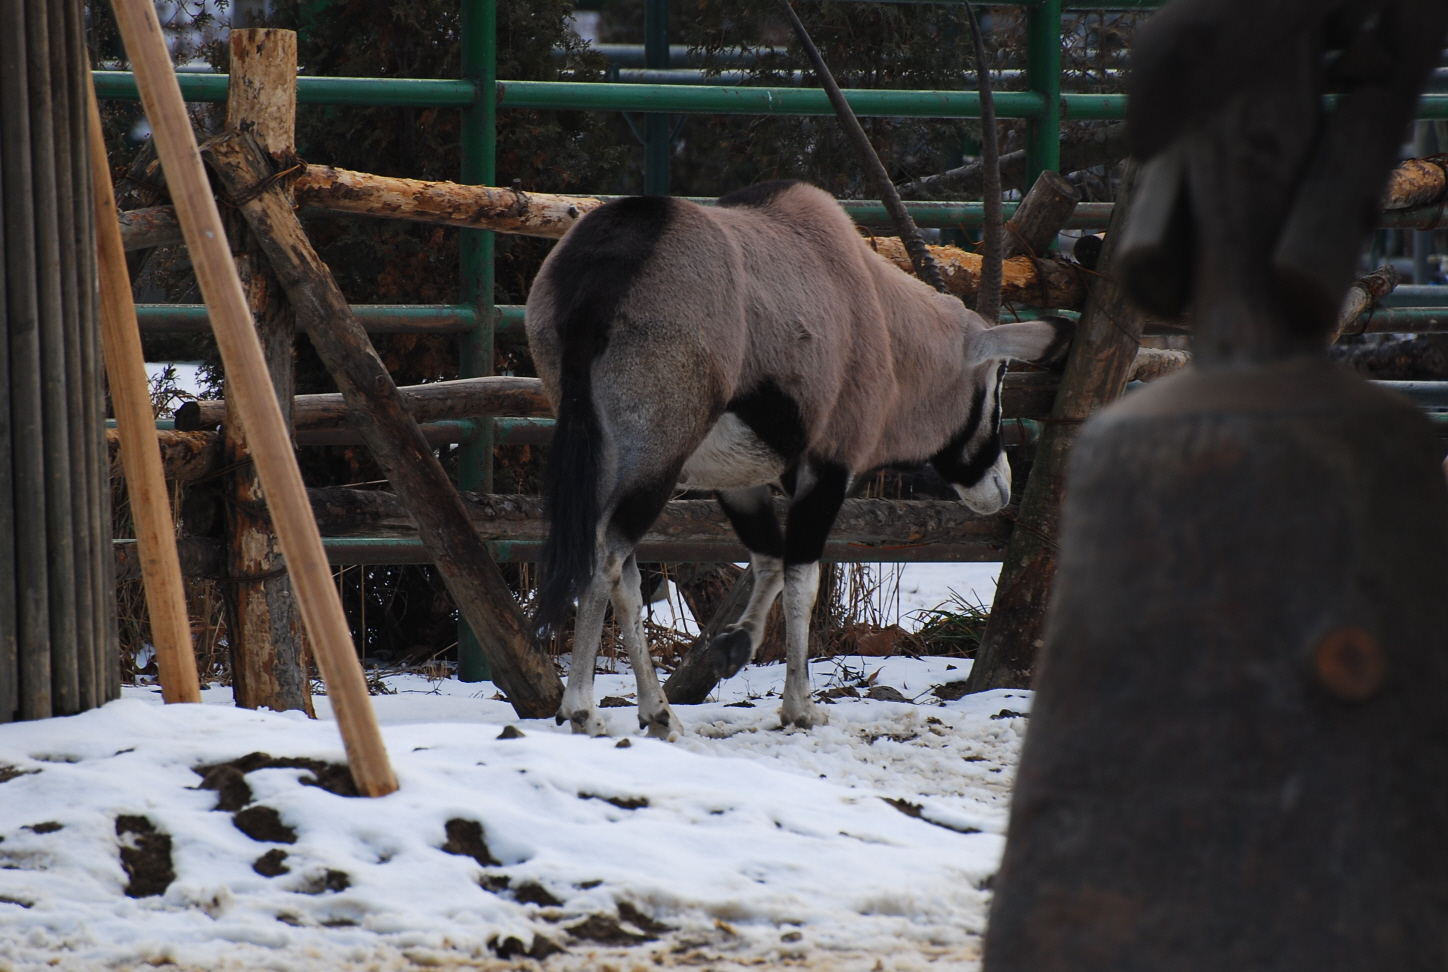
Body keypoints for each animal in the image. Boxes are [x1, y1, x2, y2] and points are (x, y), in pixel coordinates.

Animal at [527, 180, 1071, 738]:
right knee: (607, 556)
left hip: (614, 456)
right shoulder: (829, 468)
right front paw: (800, 707)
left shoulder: (737, 480)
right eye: (999, 377)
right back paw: (587, 708)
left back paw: (655, 712)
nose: (1000, 485)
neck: (875, 308)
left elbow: (768, 559)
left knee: (626, 573)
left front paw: (734, 647)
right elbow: (801, 578)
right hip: (656, 458)